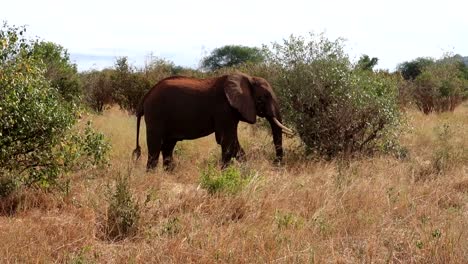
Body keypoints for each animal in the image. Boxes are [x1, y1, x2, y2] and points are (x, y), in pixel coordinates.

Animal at [132, 72, 292, 171]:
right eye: (263, 98)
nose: (276, 164)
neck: (248, 78)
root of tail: (146, 95)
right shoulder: (224, 109)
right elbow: (226, 141)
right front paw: (225, 173)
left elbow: (232, 143)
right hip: (155, 114)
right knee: (155, 146)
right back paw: (151, 176)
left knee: (168, 147)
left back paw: (170, 174)